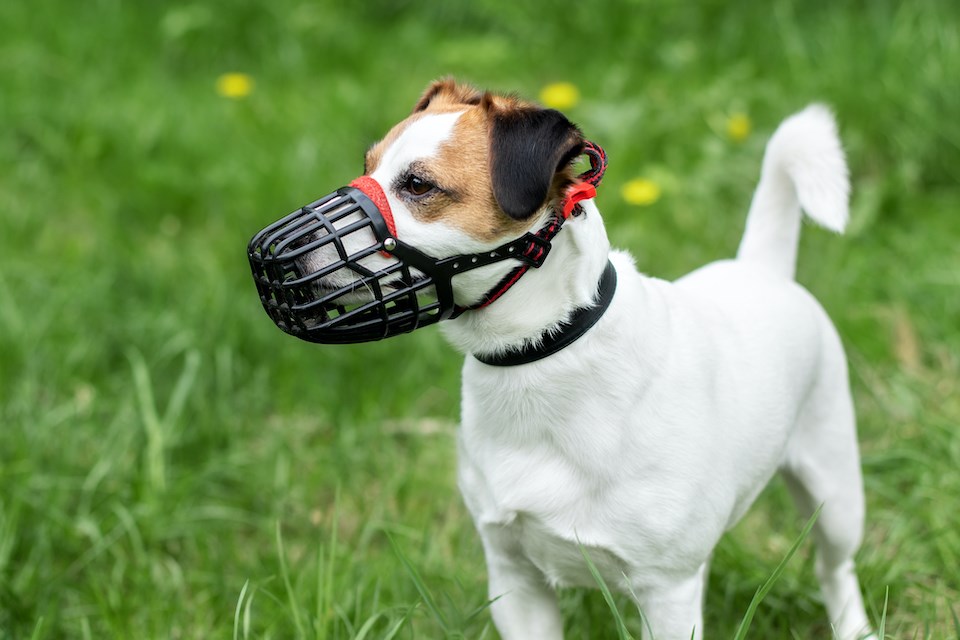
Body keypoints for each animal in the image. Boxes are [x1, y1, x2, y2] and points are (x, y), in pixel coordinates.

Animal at [288, 81, 872, 640]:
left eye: (418, 185)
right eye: (368, 165)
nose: (275, 252)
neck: (540, 354)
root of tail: (761, 268)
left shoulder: (669, 591)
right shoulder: (515, 580)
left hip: (835, 490)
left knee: (835, 566)